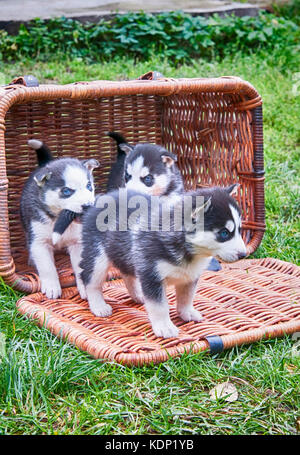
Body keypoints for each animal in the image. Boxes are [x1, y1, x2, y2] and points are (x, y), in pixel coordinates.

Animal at [20, 141, 99, 302]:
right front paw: (51, 286)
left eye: (89, 186)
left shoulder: (77, 243)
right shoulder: (39, 241)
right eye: (67, 191)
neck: (58, 219)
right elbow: (47, 267)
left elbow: (81, 266)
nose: (88, 205)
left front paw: (85, 287)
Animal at [79, 184, 246, 338]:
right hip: (98, 258)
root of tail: (102, 198)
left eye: (239, 230)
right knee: (90, 281)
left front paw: (187, 312)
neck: (188, 251)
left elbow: (187, 297)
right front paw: (165, 327)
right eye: (224, 233)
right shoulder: (151, 275)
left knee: (127, 274)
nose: (244, 254)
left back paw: (138, 294)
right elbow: (159, 306)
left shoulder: (190, 276)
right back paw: (98, 305)